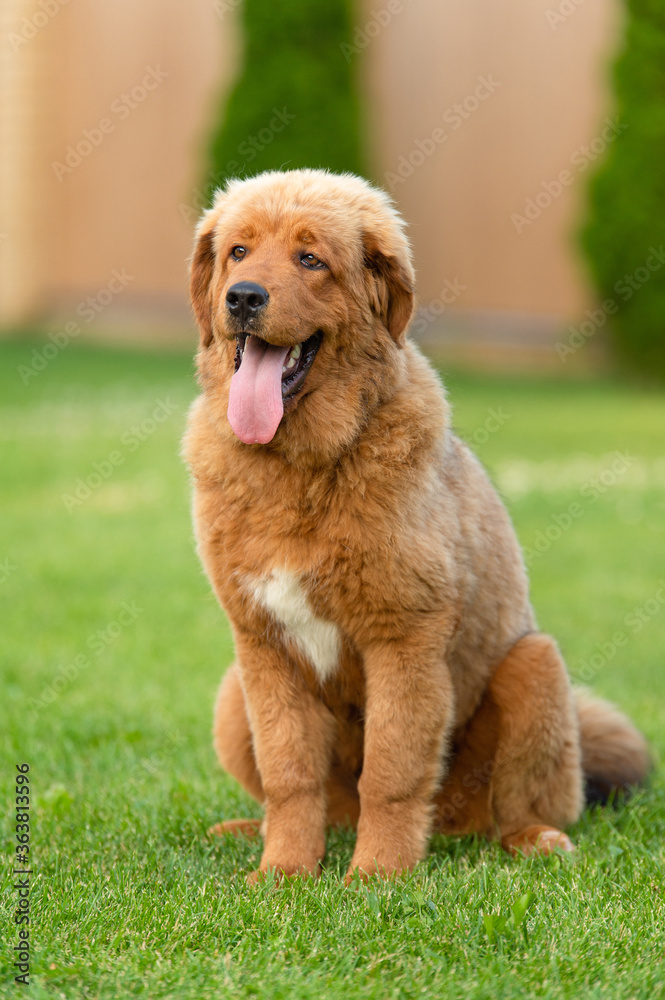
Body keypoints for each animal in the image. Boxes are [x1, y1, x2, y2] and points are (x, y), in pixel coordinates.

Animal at [184, 170, 652, 884]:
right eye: (238, 252)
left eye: (310, 259)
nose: (242, 297)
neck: (303, 468)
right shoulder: (264, 647)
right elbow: (291, 774)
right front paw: (284, 873)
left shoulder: (404, 638)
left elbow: (392, 772)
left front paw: (377, 877)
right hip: (231, 693)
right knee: (325, 804)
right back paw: (249, 831)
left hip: (536, 666)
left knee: (519, 807)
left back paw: (532, 840)